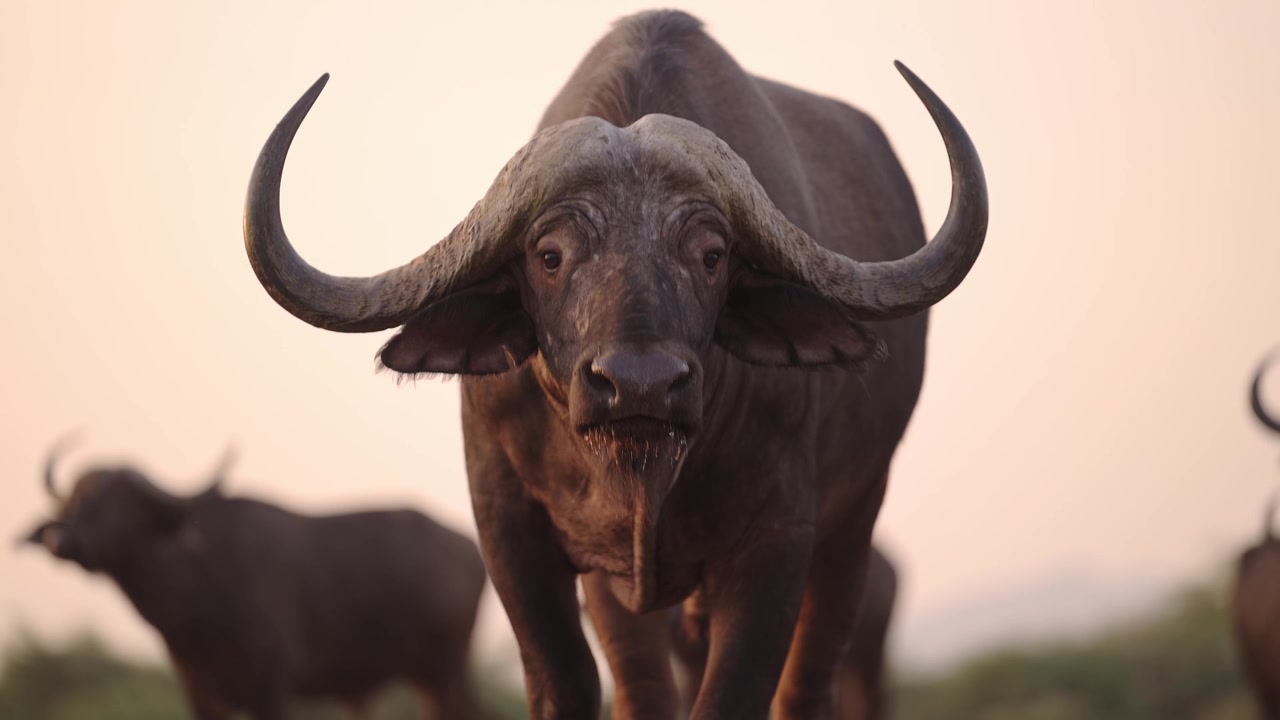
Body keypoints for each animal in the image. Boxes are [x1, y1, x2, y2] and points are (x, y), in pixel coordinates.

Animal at [20, 438, 490, 720]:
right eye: (73, 503)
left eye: (120, 508)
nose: (61, 541)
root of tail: (469, 547)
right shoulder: (200, 693)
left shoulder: (272, 684)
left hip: (445, 669)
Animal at [242, 10, 987, 718]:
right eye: (549, 255)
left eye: (712, 254)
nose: (639, 387)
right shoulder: (508, 528)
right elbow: (565, 683)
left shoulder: (780, 538)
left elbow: (735, 696)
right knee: (642, 691)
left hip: (853, 529)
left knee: (807, 686)